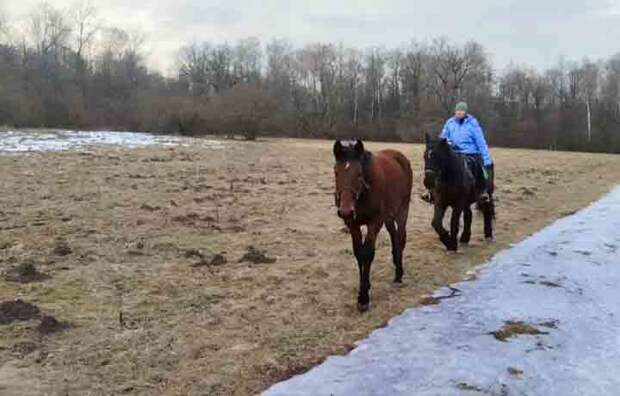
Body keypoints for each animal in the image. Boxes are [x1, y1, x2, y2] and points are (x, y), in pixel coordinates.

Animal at [332, 140, 414, 312]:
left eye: (359, 174)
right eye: (336, 172)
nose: (345, 211)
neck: (363, 194)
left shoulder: (374, 223)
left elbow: (368, 254)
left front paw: (364, 298)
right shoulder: (353, 224)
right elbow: (359, 253)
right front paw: (363, 290)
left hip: (402, 209)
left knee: (400, 237)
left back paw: (399, 273)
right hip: (389, 216)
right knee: (394, 236)